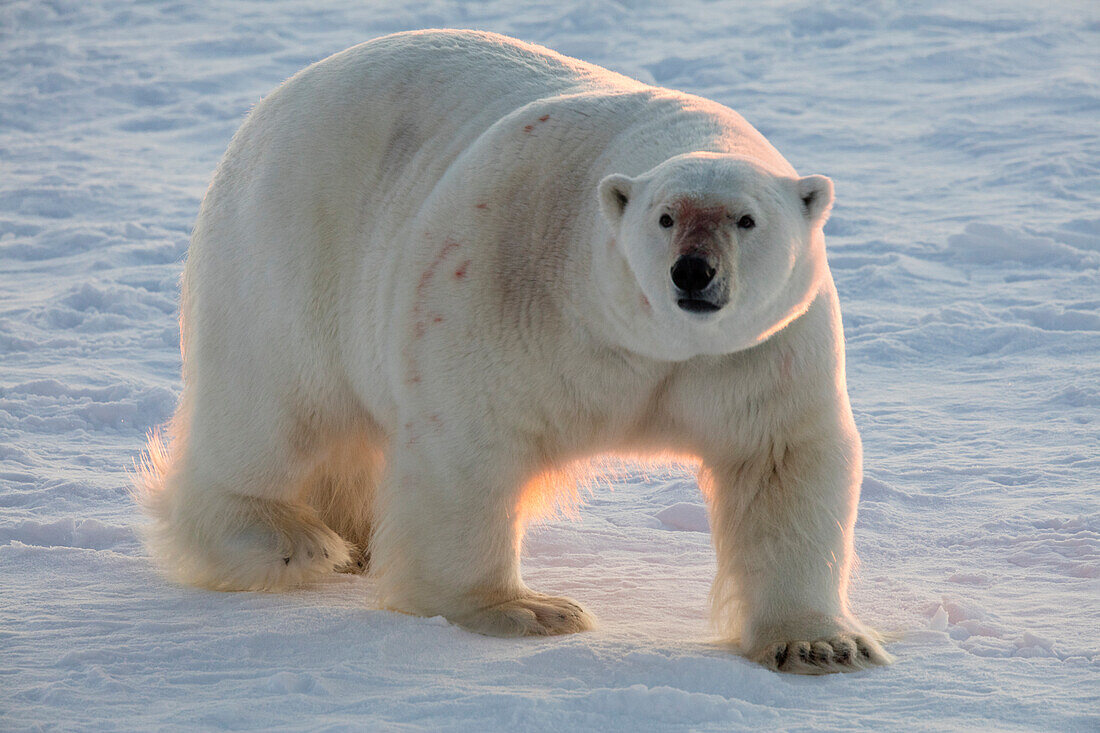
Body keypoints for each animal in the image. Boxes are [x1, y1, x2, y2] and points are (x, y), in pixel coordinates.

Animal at [137, 28, 893, 669]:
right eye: (665, 216)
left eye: (745, 218)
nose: (694, 272)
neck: (647, 342)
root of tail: (274, 101)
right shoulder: (507, 281)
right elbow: (470, 447)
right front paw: (528, 609)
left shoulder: (762, 353)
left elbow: (781, 461)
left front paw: (823, 644)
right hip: (290, 255)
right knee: (275, 410)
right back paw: (293, 539)